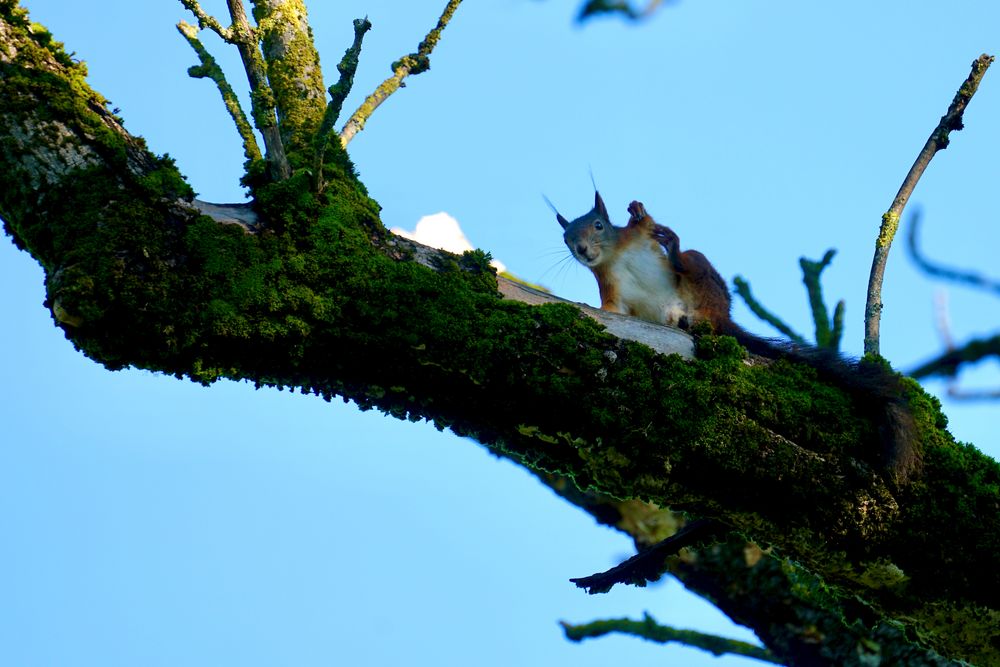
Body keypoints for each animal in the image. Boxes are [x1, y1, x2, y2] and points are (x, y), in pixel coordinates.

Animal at [560, 190, 916, 482]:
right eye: (565, 237)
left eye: (599, 225)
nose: (581, 249)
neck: (614, 255)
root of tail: (718, 316)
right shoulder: (613, 293)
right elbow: (610, 309)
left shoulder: (638, 236)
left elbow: (645, 223)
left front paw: (638, 212)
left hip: (705, 283)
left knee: (690, 263)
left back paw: (676, 256)